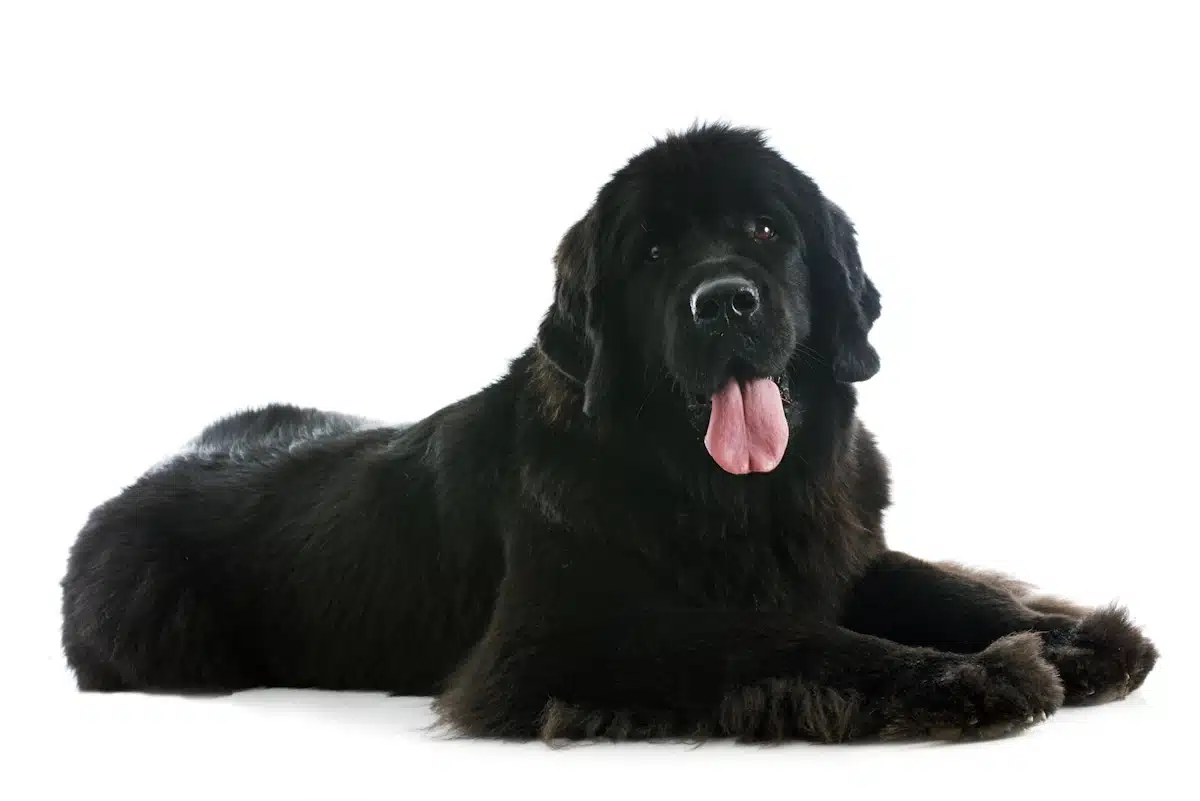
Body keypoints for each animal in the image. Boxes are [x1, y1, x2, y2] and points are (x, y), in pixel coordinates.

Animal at [60, 125, 1156, 743]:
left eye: (766, 231)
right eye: (656, 251)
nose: (724, 302)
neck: (729, 491)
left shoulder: (840, 549)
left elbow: (941, 586)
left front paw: (1074, 639)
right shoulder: (553, 643)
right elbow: (772, 633)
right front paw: (972, 675)